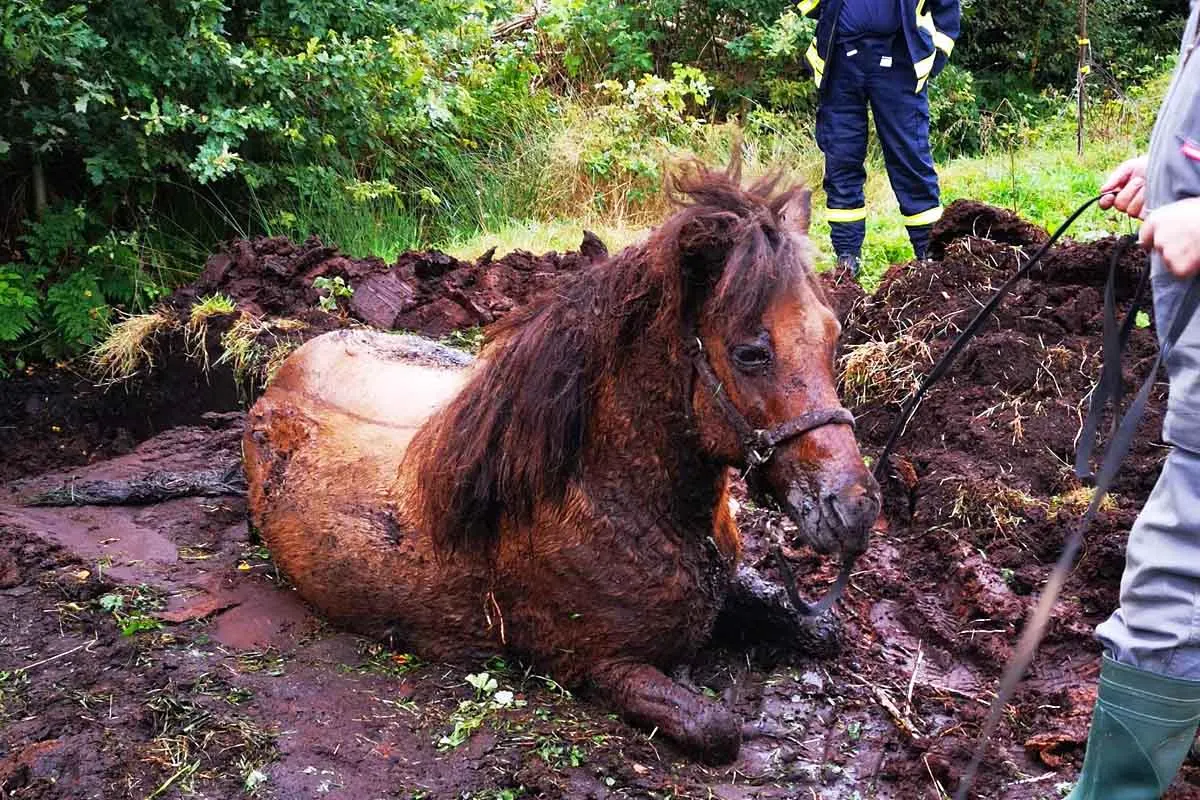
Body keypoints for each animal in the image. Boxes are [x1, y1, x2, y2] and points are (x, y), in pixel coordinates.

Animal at [242, 164, 881, 764]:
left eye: (832, 335)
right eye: (751, 353)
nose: (854, 509)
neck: (608, 495)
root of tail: (286, 368)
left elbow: (820, 627)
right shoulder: (598, 666)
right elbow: (717, 727)